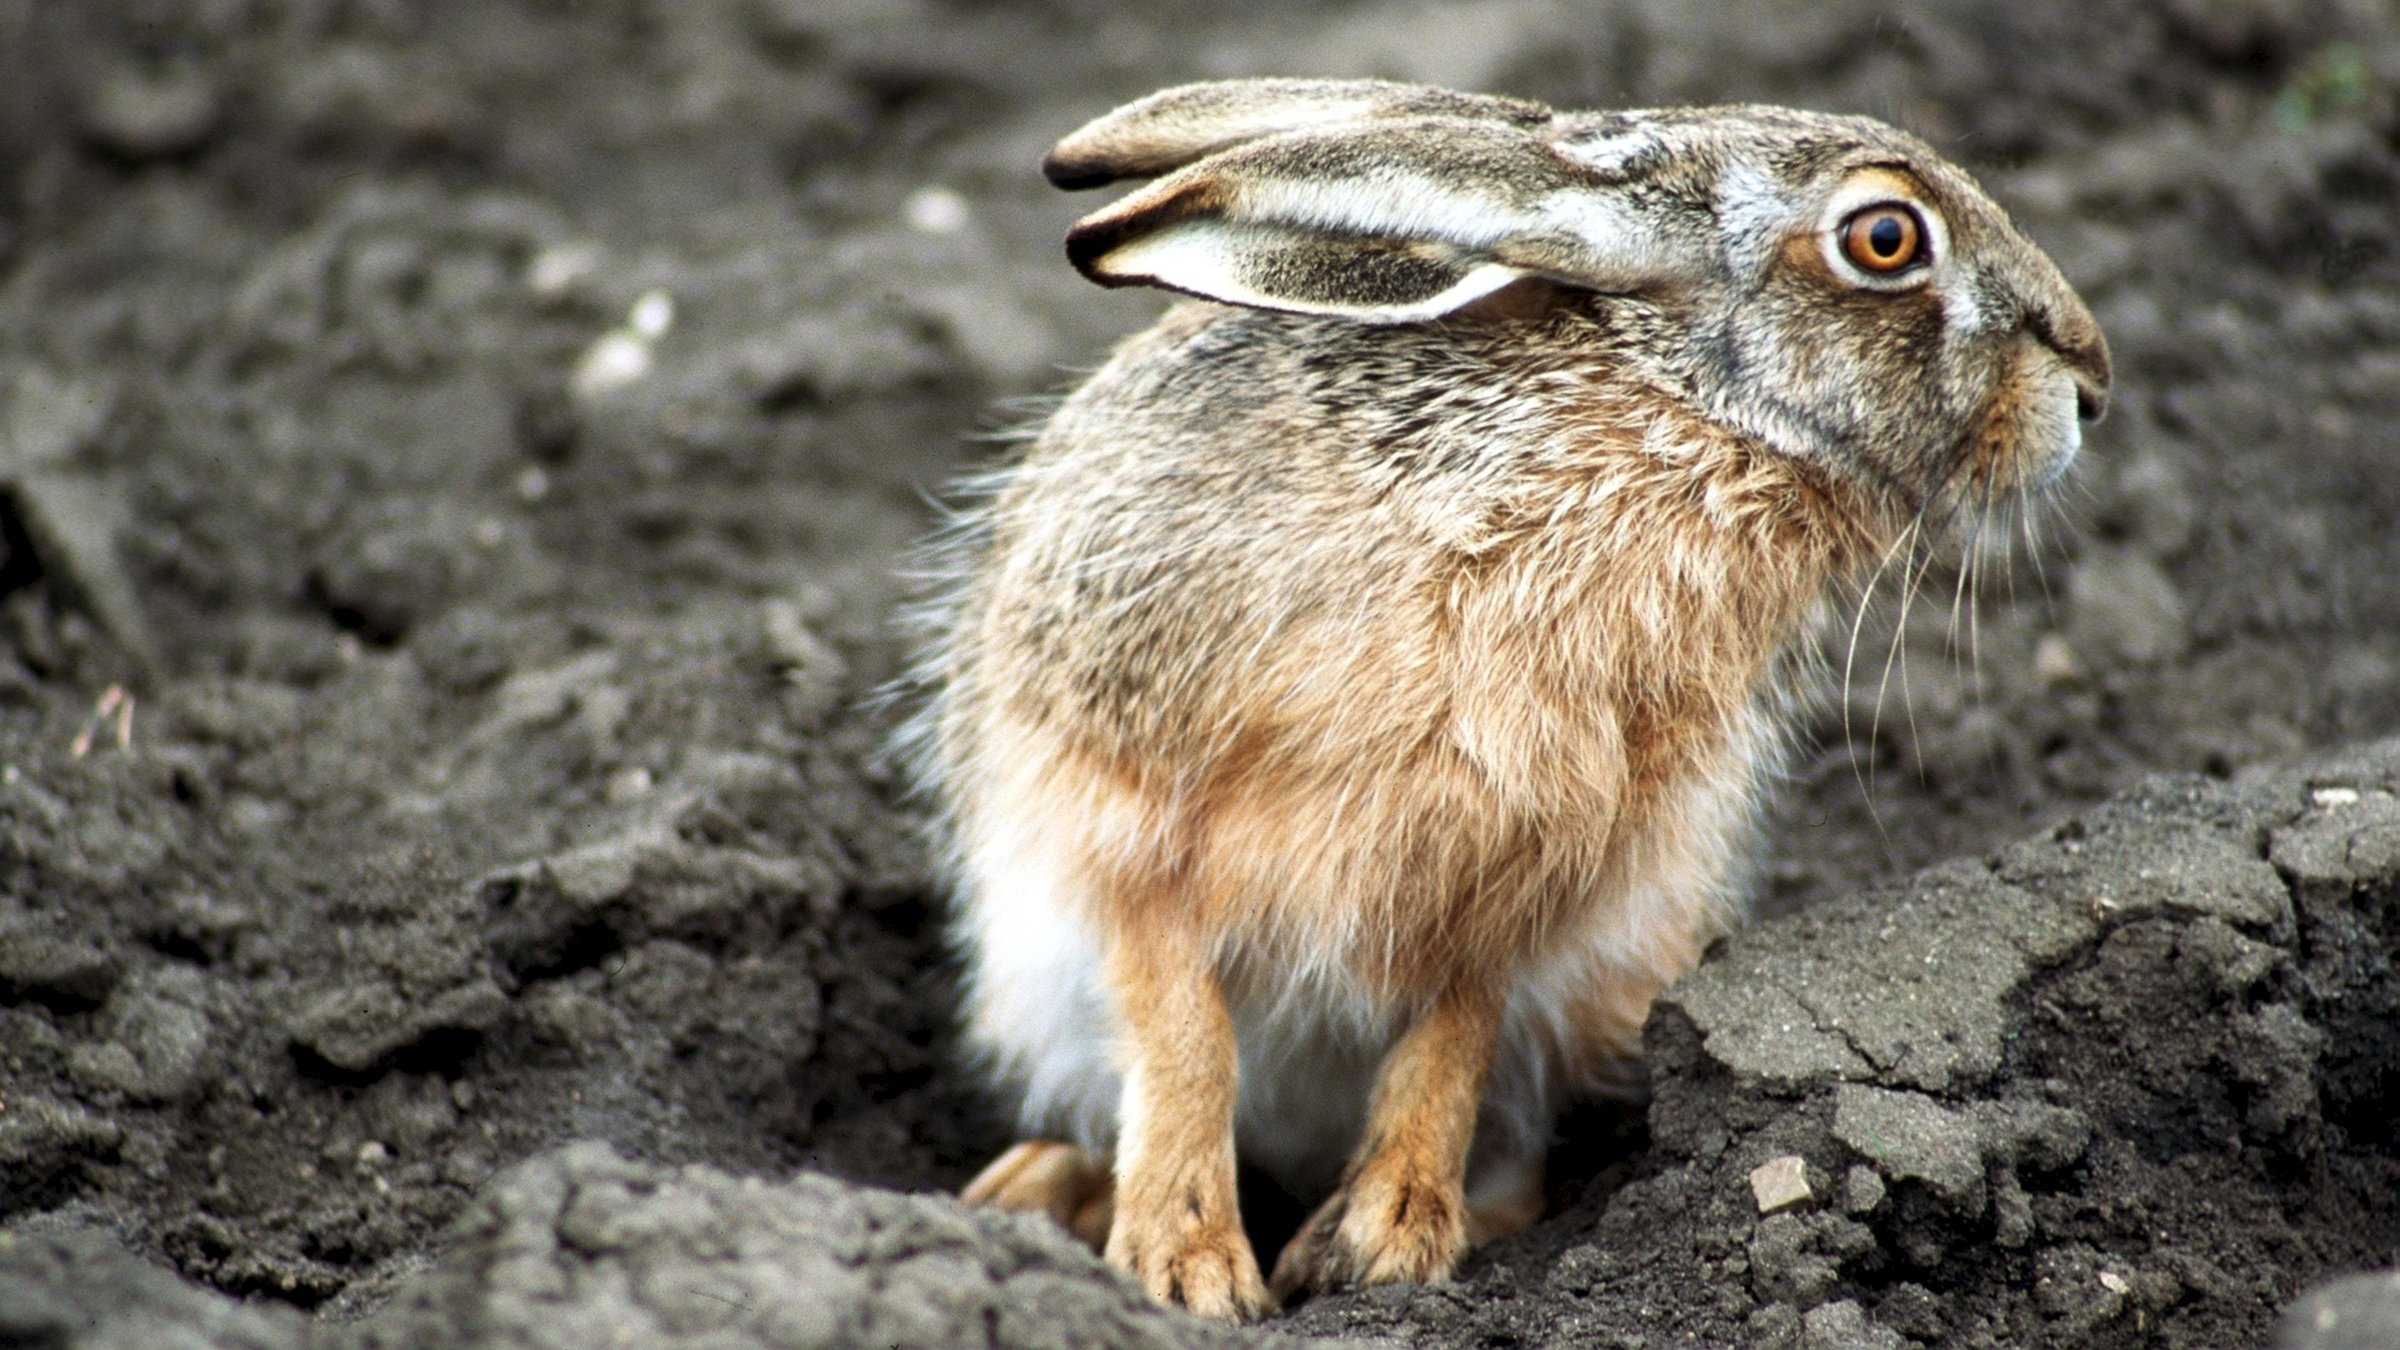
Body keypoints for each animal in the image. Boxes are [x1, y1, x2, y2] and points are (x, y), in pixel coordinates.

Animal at [905, 77, 2109, 1319]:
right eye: (1885, 239)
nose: (2091, 382)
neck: (1672, 421)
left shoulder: (1517, 874)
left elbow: (1452, 1041)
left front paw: (1387, 1241)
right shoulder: (1128, 807)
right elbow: (1185, 1031)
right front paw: (1186, 1270)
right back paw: (1043, 1189)